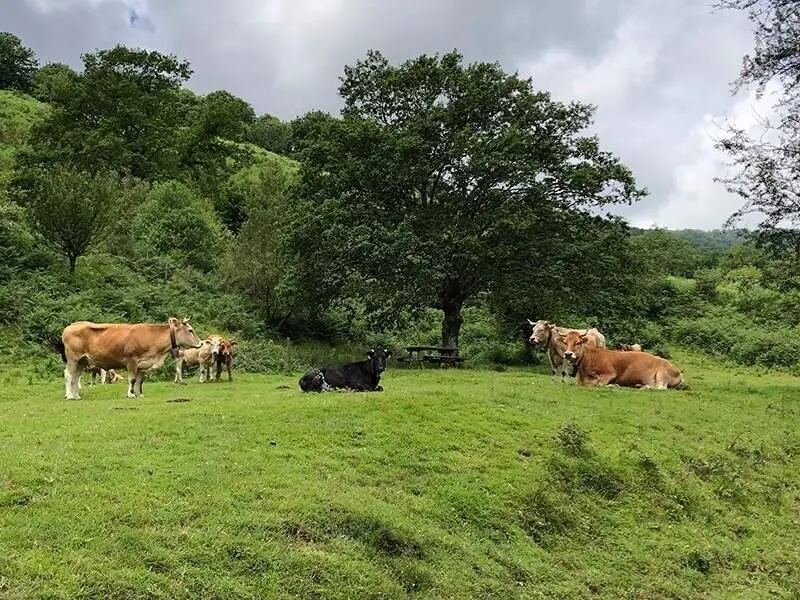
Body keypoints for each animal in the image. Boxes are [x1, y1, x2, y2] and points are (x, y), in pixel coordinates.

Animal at [56, 317, 203, 399]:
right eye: (190, 330)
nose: (201, 343)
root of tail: (70, 326)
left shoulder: (143, 364)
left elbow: (140, 380)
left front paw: (139, 394)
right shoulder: (132, 360)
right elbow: (132, 379)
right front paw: (131, 394)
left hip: (82, 361)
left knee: (75, 378)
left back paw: (76, 396)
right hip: (73, 359)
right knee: (68, 375)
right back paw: (69, 396)